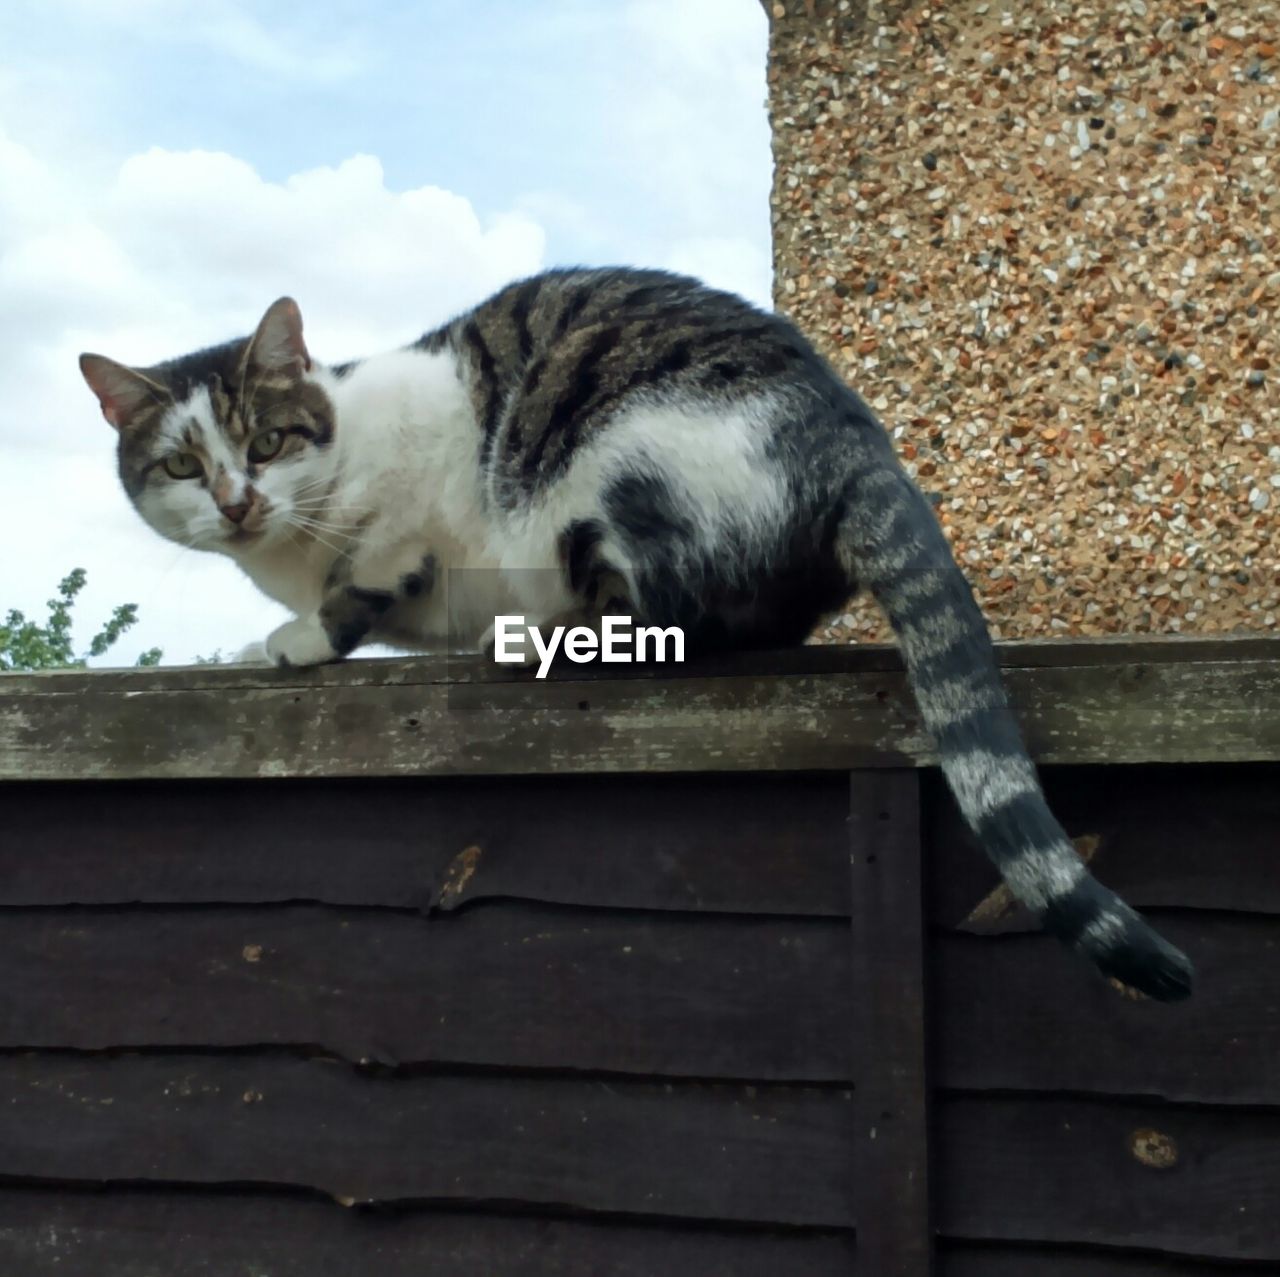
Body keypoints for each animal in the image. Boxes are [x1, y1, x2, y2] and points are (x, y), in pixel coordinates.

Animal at [80, 269, 1192, 1003]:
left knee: (676, 617)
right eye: (182, 466)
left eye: (267, 442)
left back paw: (538, 636)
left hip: (614, 465)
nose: (237, 502)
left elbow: (366, 581)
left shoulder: (404, 513)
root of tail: (854, 436)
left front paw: (302, 634)